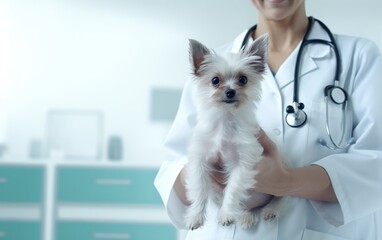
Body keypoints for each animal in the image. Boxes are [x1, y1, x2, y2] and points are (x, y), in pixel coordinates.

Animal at [184, 34, 274, 230]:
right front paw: (195, 216)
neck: (225, 120)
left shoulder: (243, 162)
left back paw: (271, 210)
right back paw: (245, 216)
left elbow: (233, 189)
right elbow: (199, 189)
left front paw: (226, 215)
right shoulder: (200, 160)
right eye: (215, 81)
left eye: (243, 79)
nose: (230, 91)